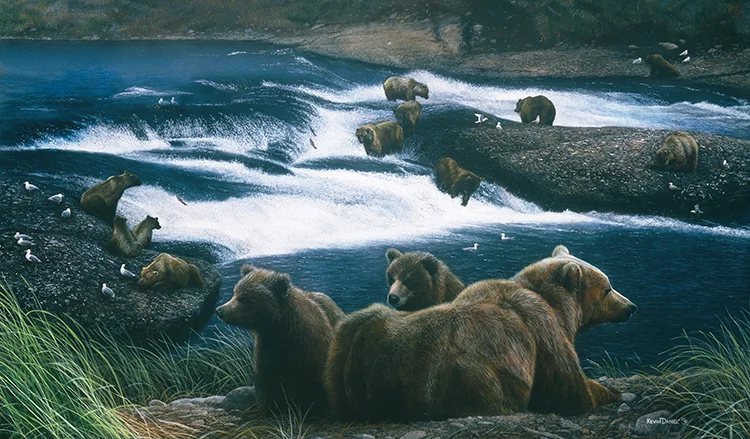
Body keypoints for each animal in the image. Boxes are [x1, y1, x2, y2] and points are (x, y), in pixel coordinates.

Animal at [215, 264, 343, 416]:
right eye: (234, 293)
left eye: (245, 299)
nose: (220, 310)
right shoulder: (268, 347)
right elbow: (268, 382)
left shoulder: (310, 349)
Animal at [324, 245, 636, 421]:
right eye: (608, 288)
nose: (631, 306)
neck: (556, 305)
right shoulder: (542, 328)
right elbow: (568, 390)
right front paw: (608, 391)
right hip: (465, 381)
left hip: (348, 338)